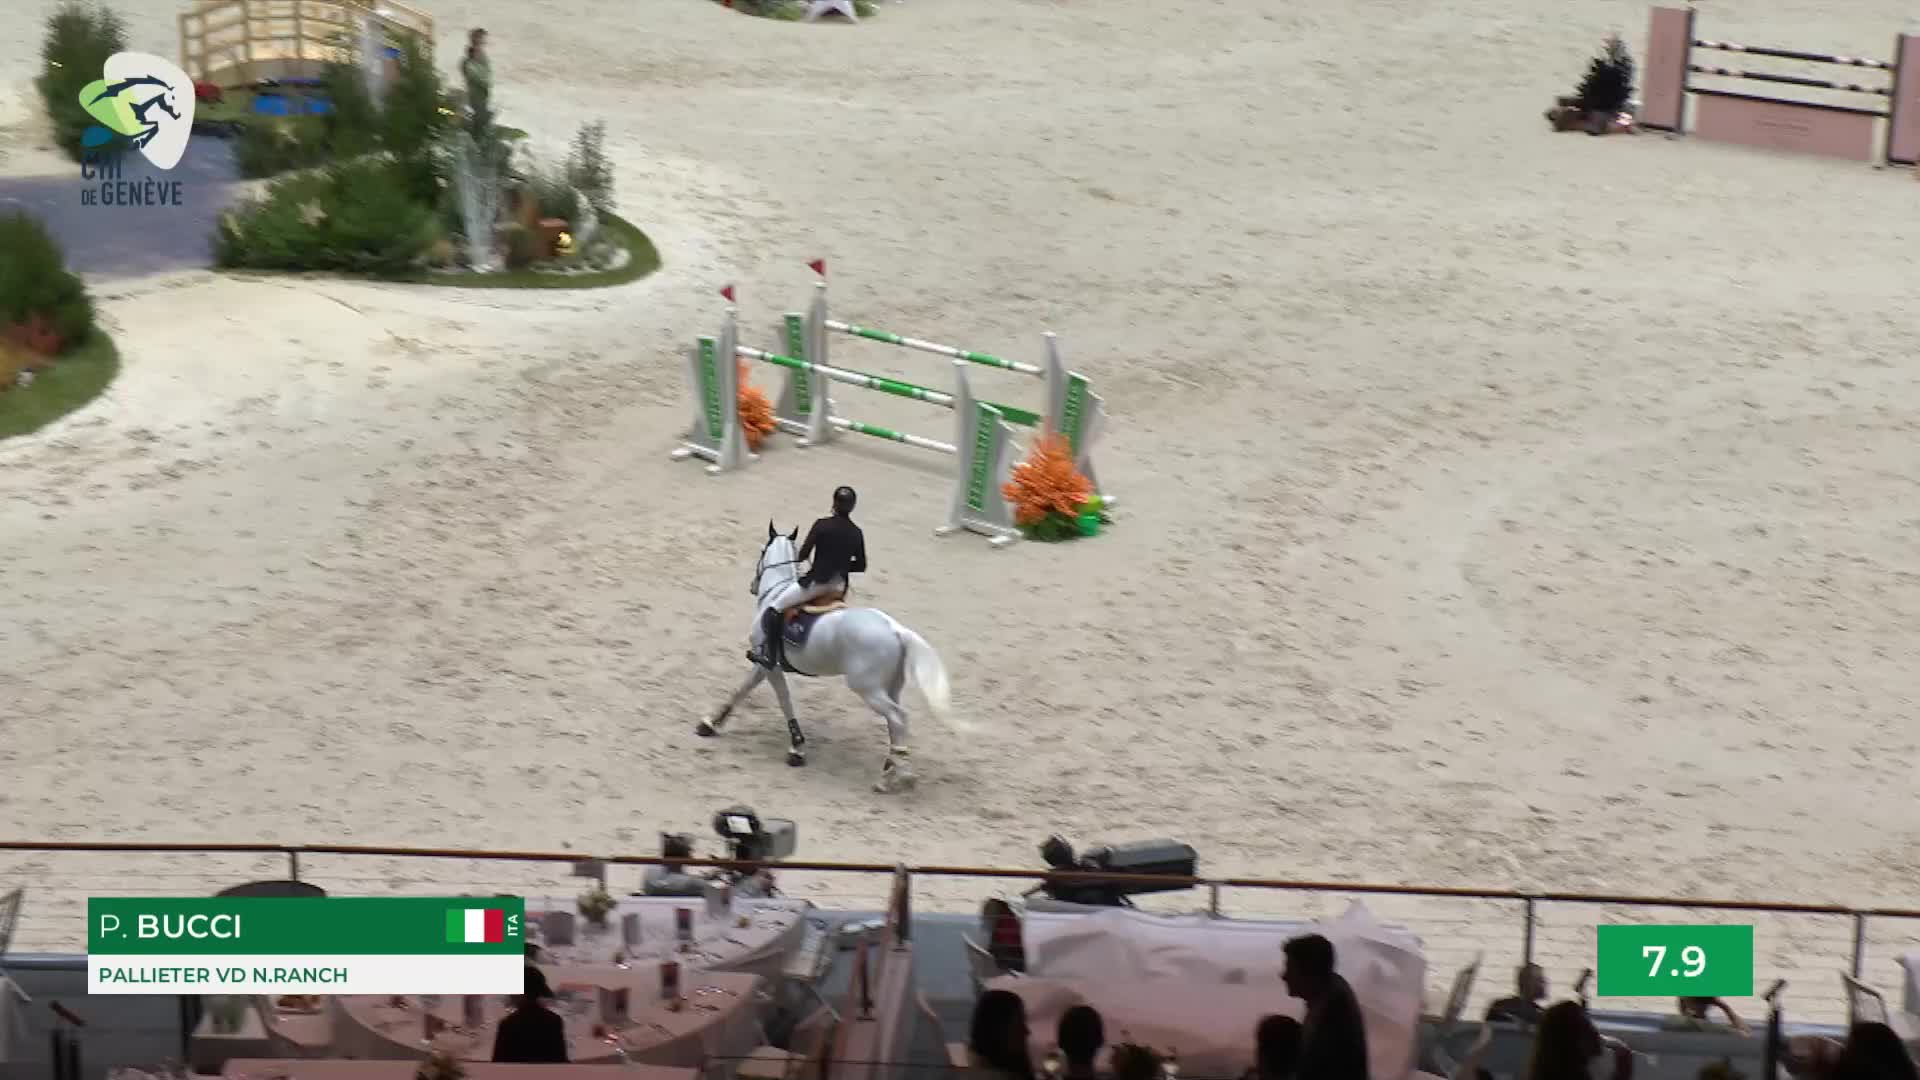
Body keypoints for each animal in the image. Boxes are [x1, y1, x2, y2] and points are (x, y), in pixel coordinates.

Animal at [695, 524, 959, 793]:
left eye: (761, 551)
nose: (752, 586)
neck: (776, 593)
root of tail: (896, 629)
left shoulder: (770, 666)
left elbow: (783, 700)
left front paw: (797, 748)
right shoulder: (764, 665)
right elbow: (741, 690)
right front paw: (711, 723)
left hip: (868, 689)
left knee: (897, 718)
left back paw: (897, 776)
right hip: (891, 687)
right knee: (896, 722)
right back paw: (892, 770)